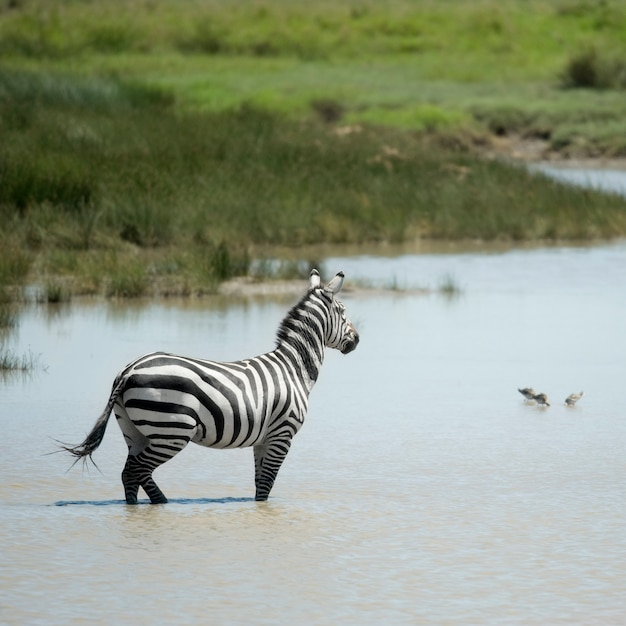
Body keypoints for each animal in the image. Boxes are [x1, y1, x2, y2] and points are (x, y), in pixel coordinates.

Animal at [62, 268, 358, 502]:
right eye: (343, 312)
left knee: (132, 474)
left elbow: (259, 483)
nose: (356, 340)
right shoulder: (282, 434)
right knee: (136, 471)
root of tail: (128, 369)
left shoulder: (264, 438)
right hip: (171, 431)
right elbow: (267, 484)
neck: (293, 368)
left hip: (135, 430)